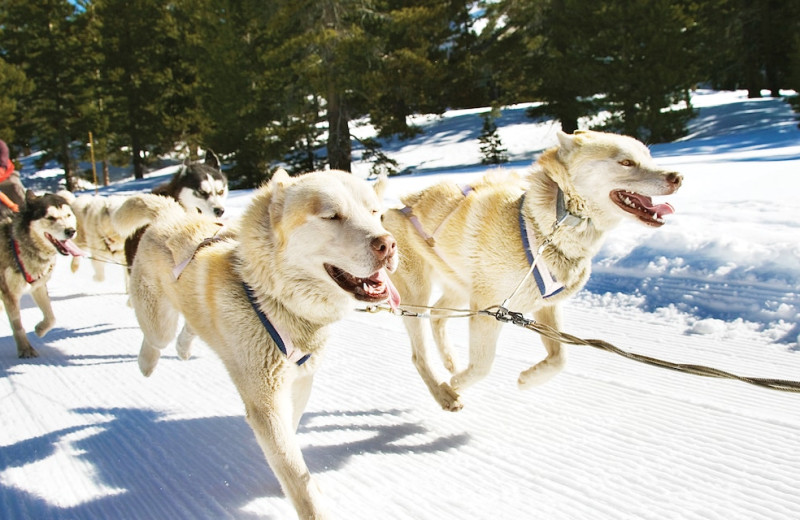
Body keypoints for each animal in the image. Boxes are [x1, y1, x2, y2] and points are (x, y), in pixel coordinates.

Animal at [112, 170, 400, 516]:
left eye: (374, 212)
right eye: (331, 216)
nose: (388, 244)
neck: (273, 298)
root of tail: (171, 215)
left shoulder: (299, 381)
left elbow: (291, 441)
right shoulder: (265, 400)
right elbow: (295, 472)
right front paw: (311, 506)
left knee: (190, 327)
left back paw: (183, 347)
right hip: (159, 323)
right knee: (155, 339)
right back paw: (147, 362)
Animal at [384, 130, 684, 410]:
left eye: (648, 157)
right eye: (626, 162)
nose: (677, 176)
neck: (548, 228)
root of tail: (392, 210)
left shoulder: (544, 307)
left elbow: (560, 358)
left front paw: (528, 379)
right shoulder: (489, 310)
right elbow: (483, 366)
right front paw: (456, 384)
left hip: (459, 288)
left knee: (436, 316)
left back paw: (450, 362)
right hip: (417, 298)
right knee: (419, 354)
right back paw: (443, 392)